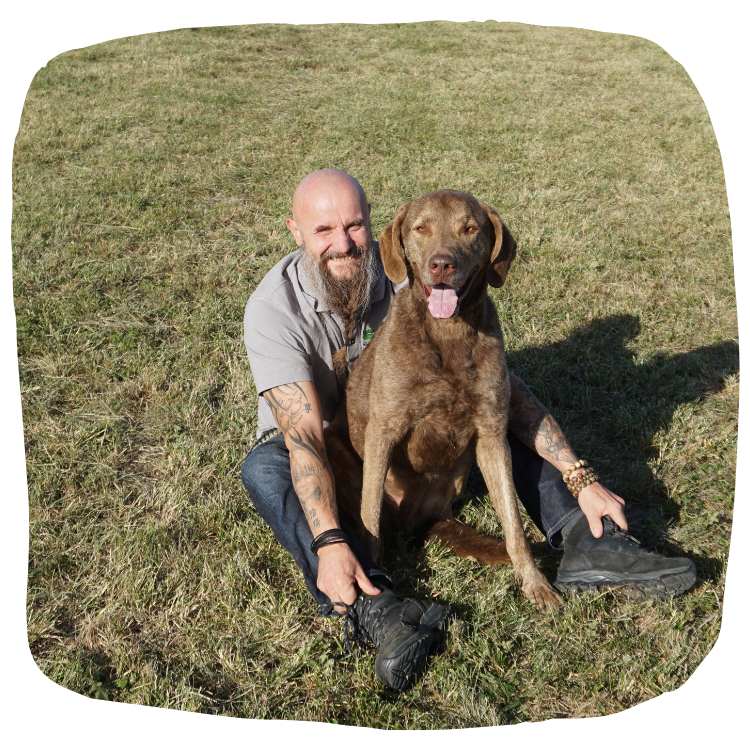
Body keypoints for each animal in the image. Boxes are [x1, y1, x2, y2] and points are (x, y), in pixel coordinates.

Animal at [328, 189, 560, 612]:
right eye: (421, 228)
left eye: (469, 229)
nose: (441, 264)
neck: (447, 332)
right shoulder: (383, 430)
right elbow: (370, 516)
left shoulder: (491, 435)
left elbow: (514, 524)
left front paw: (535, 583)